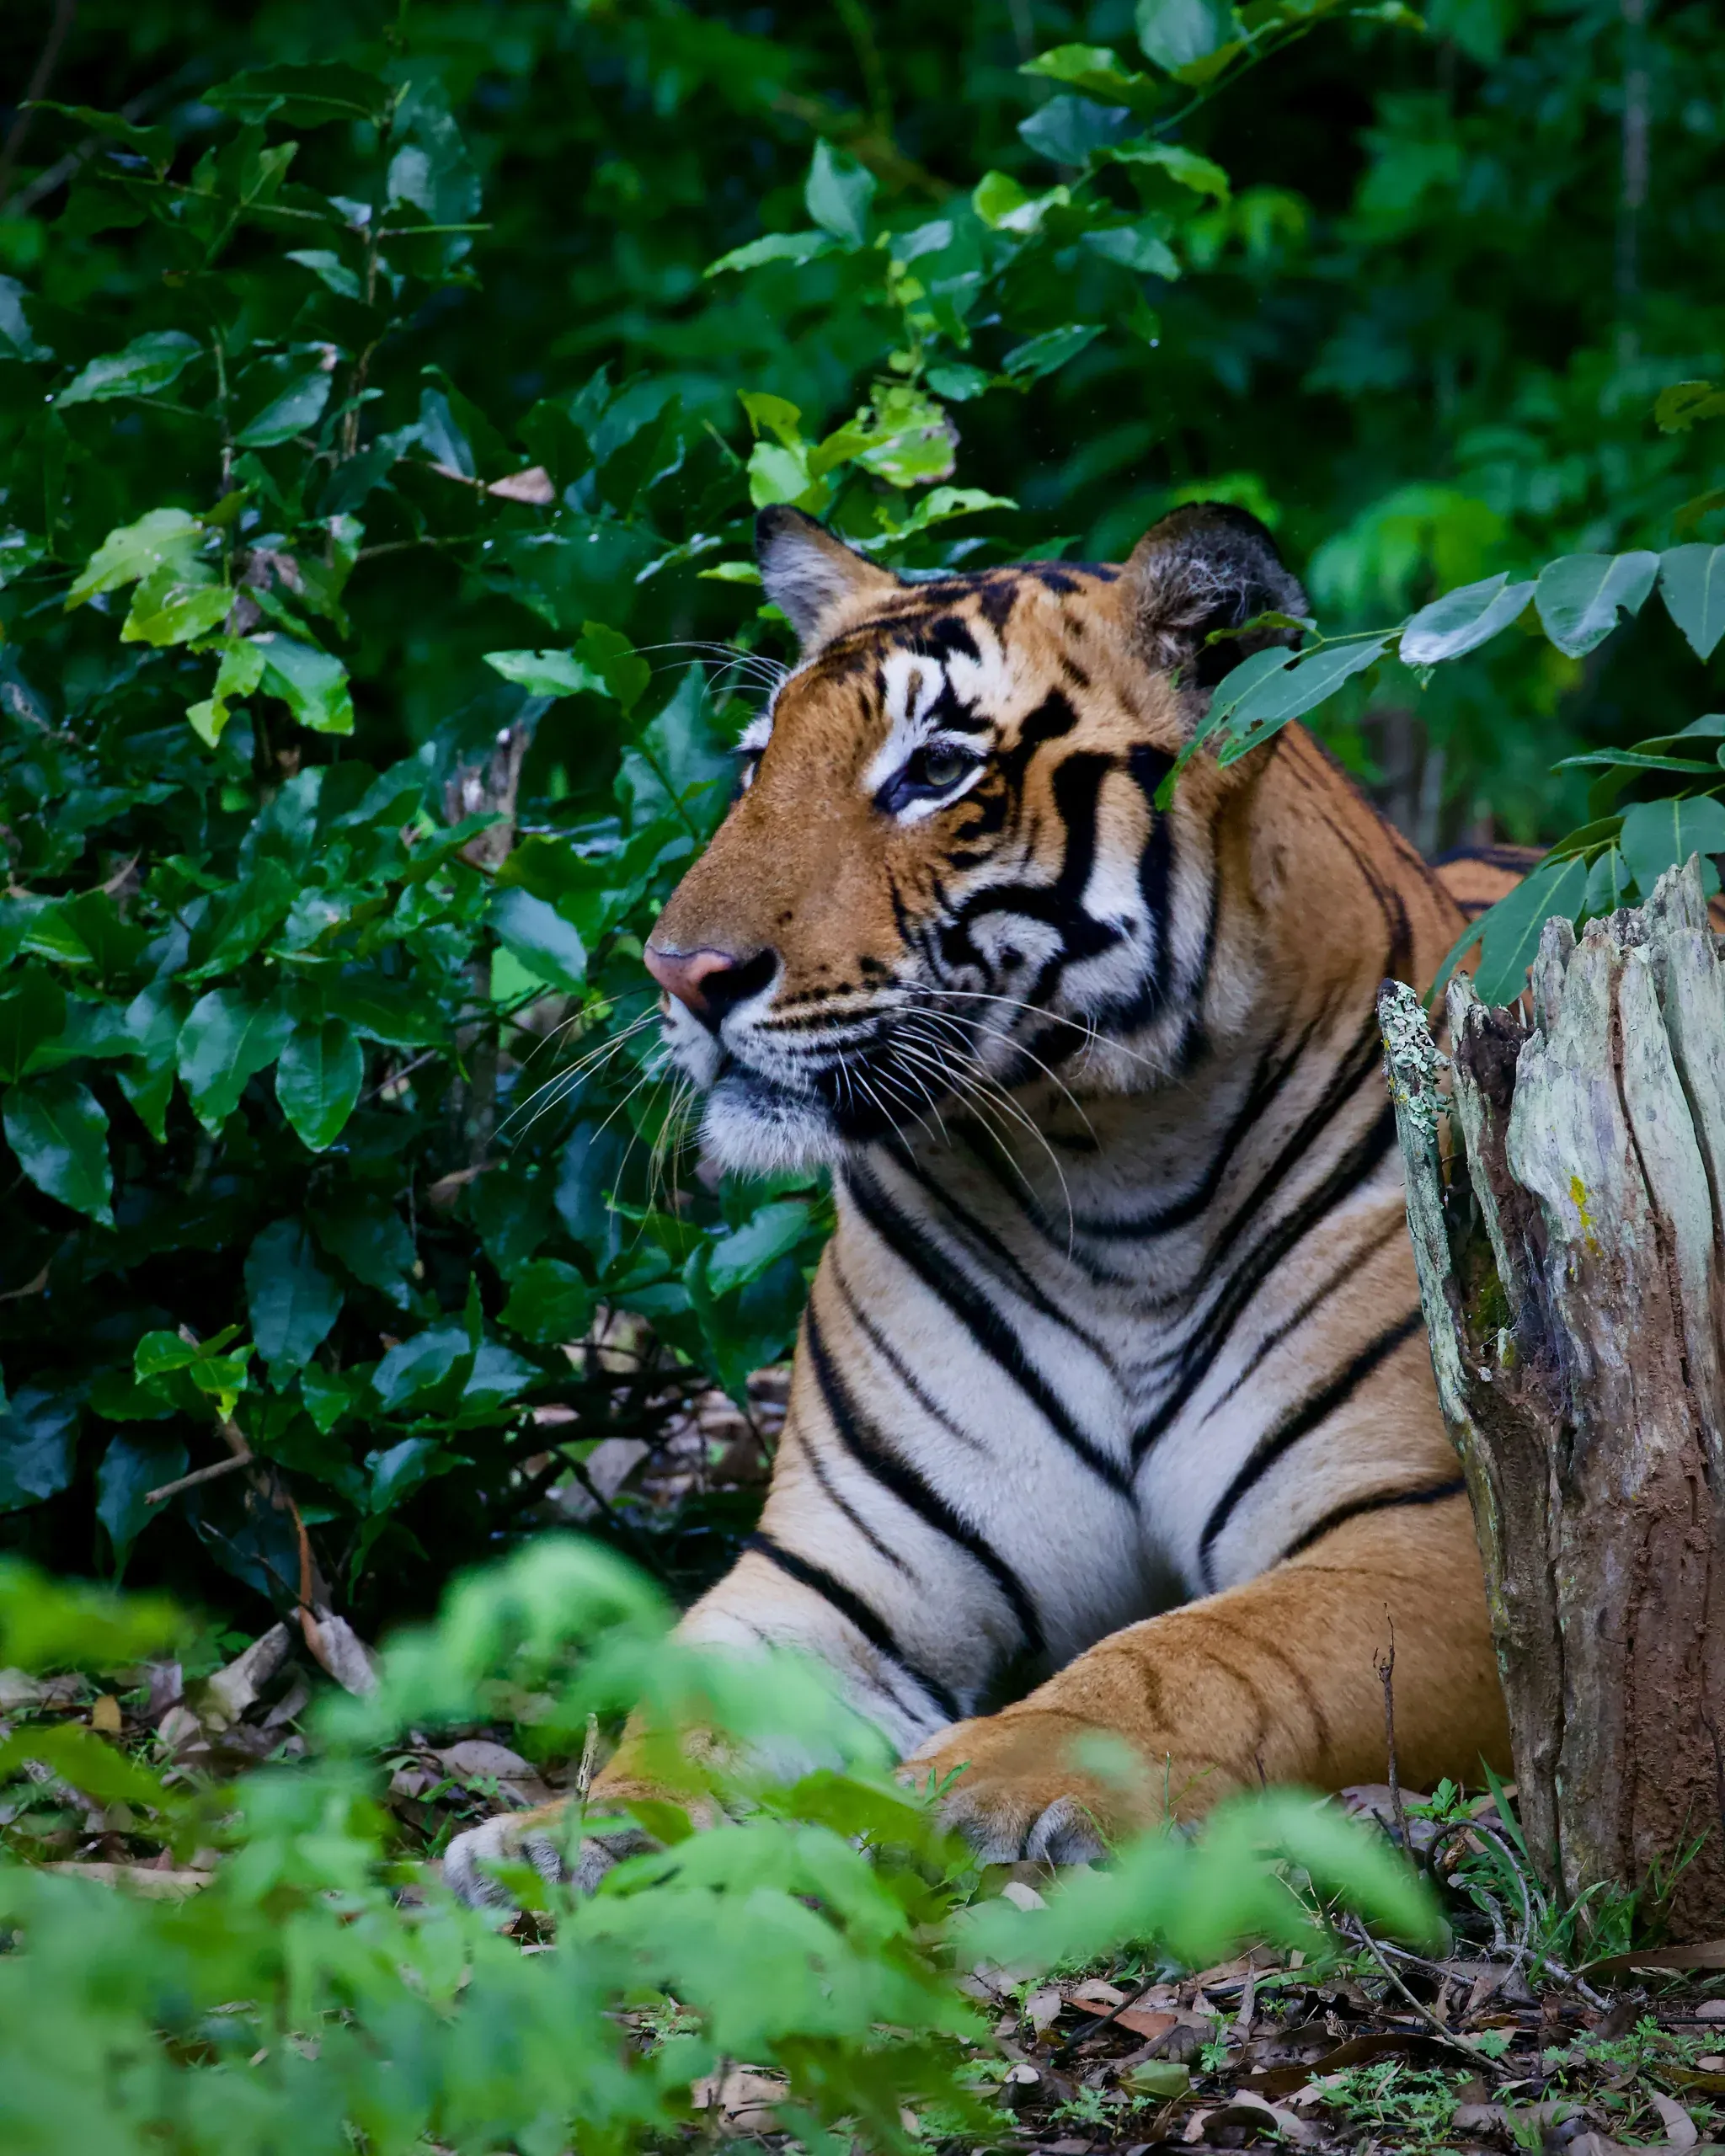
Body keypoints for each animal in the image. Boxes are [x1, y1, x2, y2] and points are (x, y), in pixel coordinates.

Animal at [445, 499, 1511, 1904]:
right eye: (754, 766)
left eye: (934, 771)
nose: (680, 973)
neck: (1113, 1177)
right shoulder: (840, 1568)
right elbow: (685, 1707)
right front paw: (578, 1835)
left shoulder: (1434, 1539)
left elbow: (1198, 1651)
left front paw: (983, 1780)